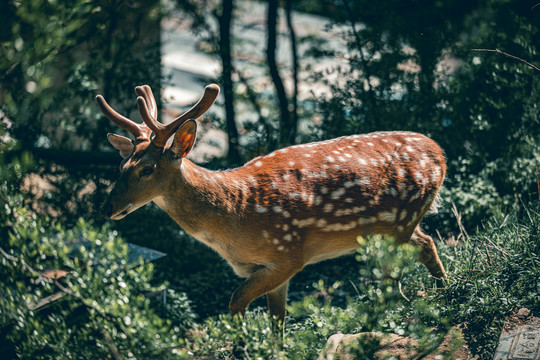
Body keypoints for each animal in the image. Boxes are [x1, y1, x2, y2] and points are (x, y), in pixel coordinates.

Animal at [97, 85, 448, 326]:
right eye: (121, 165)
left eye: (147, 169)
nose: (106, 208)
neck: (236, 215)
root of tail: (440, 154)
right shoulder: (270, 269)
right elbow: (277, 321)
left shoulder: (288, 254)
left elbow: (235, 302)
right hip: (396, 227)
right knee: (426, 242)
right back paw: (445, 294)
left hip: (401, 221)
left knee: (393, 278)